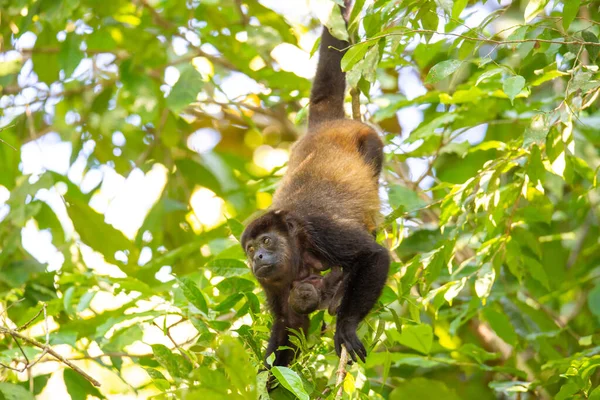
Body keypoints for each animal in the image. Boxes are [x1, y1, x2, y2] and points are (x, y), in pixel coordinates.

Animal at [243, 0, 390, 366]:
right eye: (250, 249)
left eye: (266, 242)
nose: (257, 258)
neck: (297, 252)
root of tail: (321, 126)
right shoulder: (272, 284)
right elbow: (288, 324)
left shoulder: (319, 230)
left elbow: (373, 256)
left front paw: (346, 326)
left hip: (369, 142)